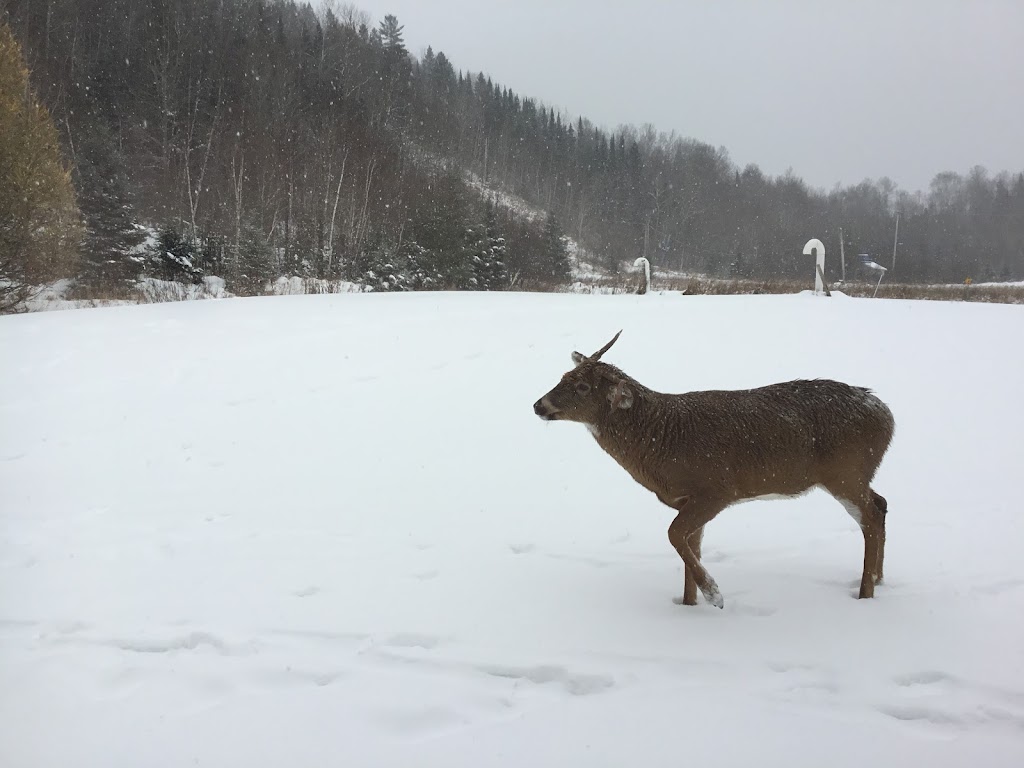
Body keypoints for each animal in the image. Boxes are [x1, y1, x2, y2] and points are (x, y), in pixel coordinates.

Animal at [532, 333, 892, 610]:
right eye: (563, 376)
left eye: (582, 386)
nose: (538, 405)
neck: (661, 439)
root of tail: (887, 415)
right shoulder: (689, 499)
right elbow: (690, 544)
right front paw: (689, 605)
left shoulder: (718, 488)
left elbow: (674, 534)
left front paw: (715, 595)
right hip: (856, 474)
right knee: (881, 503)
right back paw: (878, 579)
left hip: (845, 471)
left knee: (871, 515)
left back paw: (865, 594)